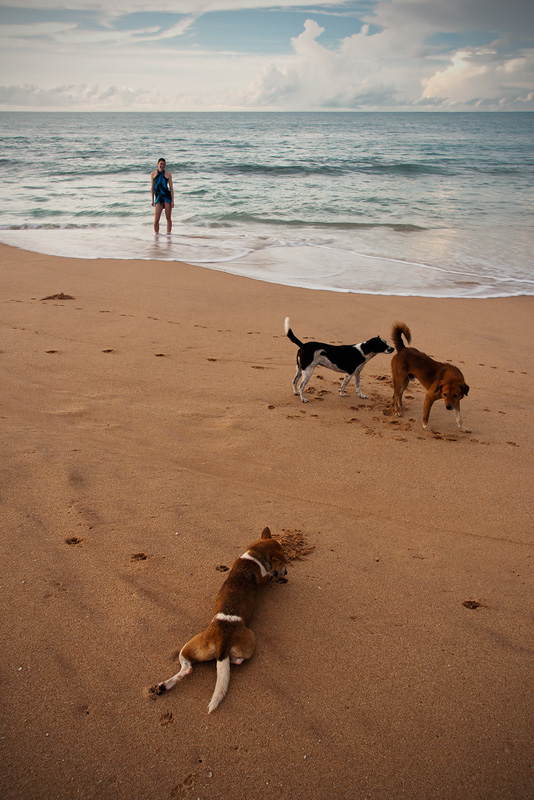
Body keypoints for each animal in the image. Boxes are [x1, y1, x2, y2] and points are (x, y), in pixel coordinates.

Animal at [151, 528, 288, 716]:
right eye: (282, 561)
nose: (286, 573)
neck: (253, 555)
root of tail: (222, 644)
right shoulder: (264, 577)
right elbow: (268, 575)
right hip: (250, 639)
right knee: (237, 660)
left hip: (188, 647)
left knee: (187, 669)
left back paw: (163, 686)